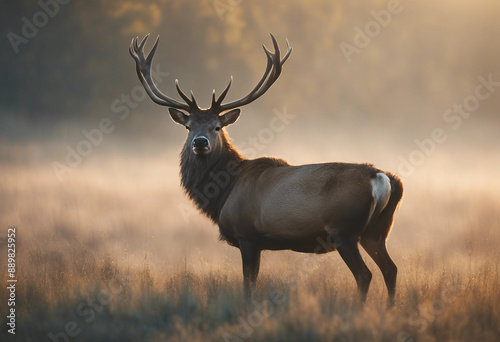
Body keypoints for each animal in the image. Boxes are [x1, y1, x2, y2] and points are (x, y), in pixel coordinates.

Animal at [129, 33, 402, 306]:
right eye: (188, 126)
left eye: (217, 126)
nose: (200, 142)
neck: (223, 194)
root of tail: (382, 178)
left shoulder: (247, 235)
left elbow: (248, 283)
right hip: (377, 230)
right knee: (391, 269)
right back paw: (389, 309)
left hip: (344, 230)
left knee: (365, 274)